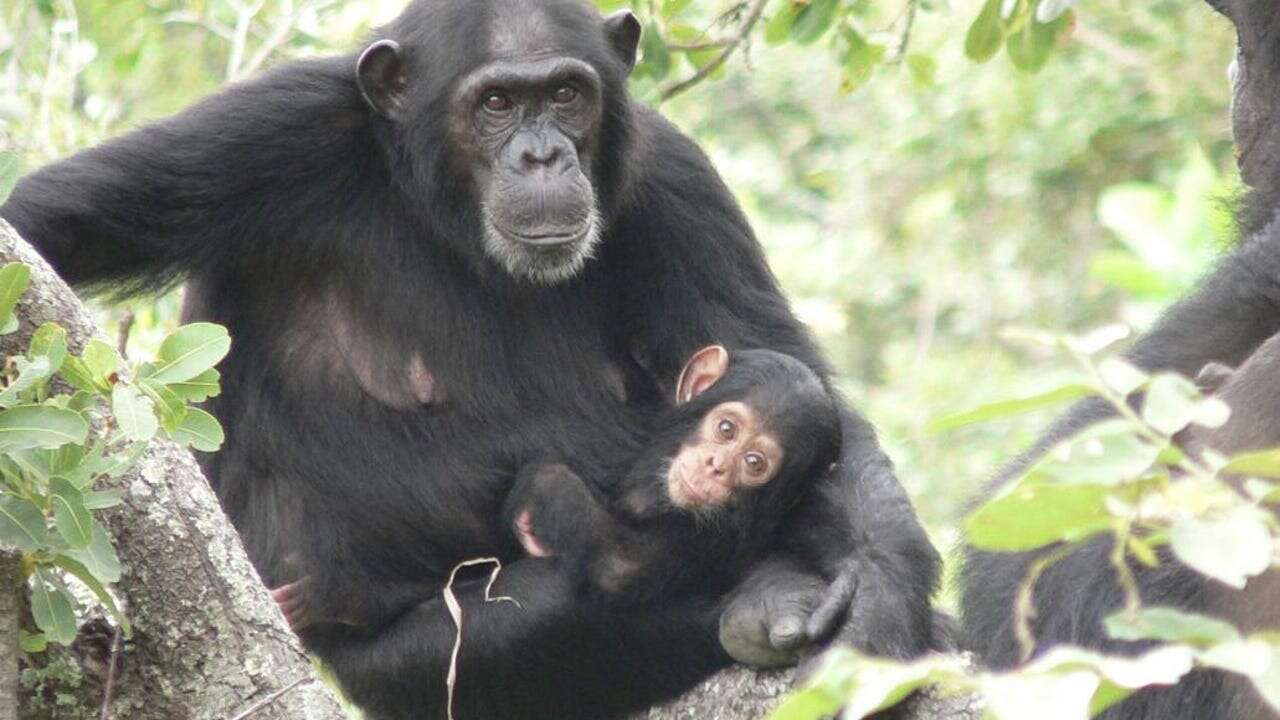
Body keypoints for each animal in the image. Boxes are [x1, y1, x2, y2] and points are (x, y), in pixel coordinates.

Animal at [504, 343, 844, 599]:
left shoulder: (710, 540)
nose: (716, 467)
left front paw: (544, 480)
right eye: (726, 429)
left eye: (754, 463)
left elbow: (619, 563)